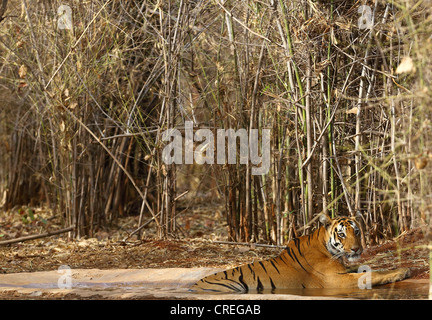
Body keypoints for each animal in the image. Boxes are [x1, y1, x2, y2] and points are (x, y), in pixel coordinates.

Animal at [191, 215, 410, 292]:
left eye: (356, 232)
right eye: (342, 234)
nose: (356, 249)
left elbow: (367, 269)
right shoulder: (336, 279)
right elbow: (374, 274)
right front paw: (403, 270)